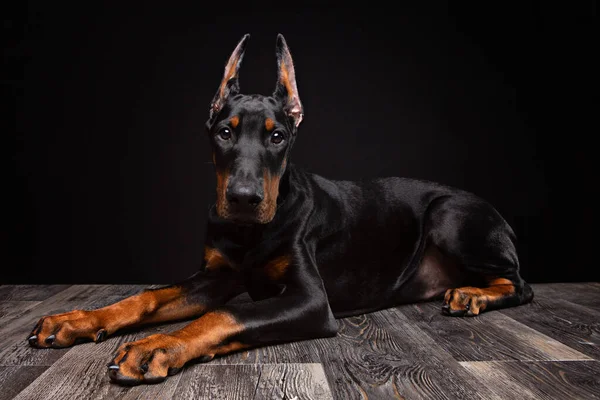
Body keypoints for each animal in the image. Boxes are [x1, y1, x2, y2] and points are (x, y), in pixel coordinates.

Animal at [28, 35, 536, 388]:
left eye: (277, 136)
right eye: (225, 132)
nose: (243, 199)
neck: (249, 234)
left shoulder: (310, 300)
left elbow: (224, 315)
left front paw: (158, 345)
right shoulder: (215, 276)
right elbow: (147, 297)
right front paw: (76, 320)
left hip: (450, 213)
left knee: (521, 284)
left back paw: (471, 295)